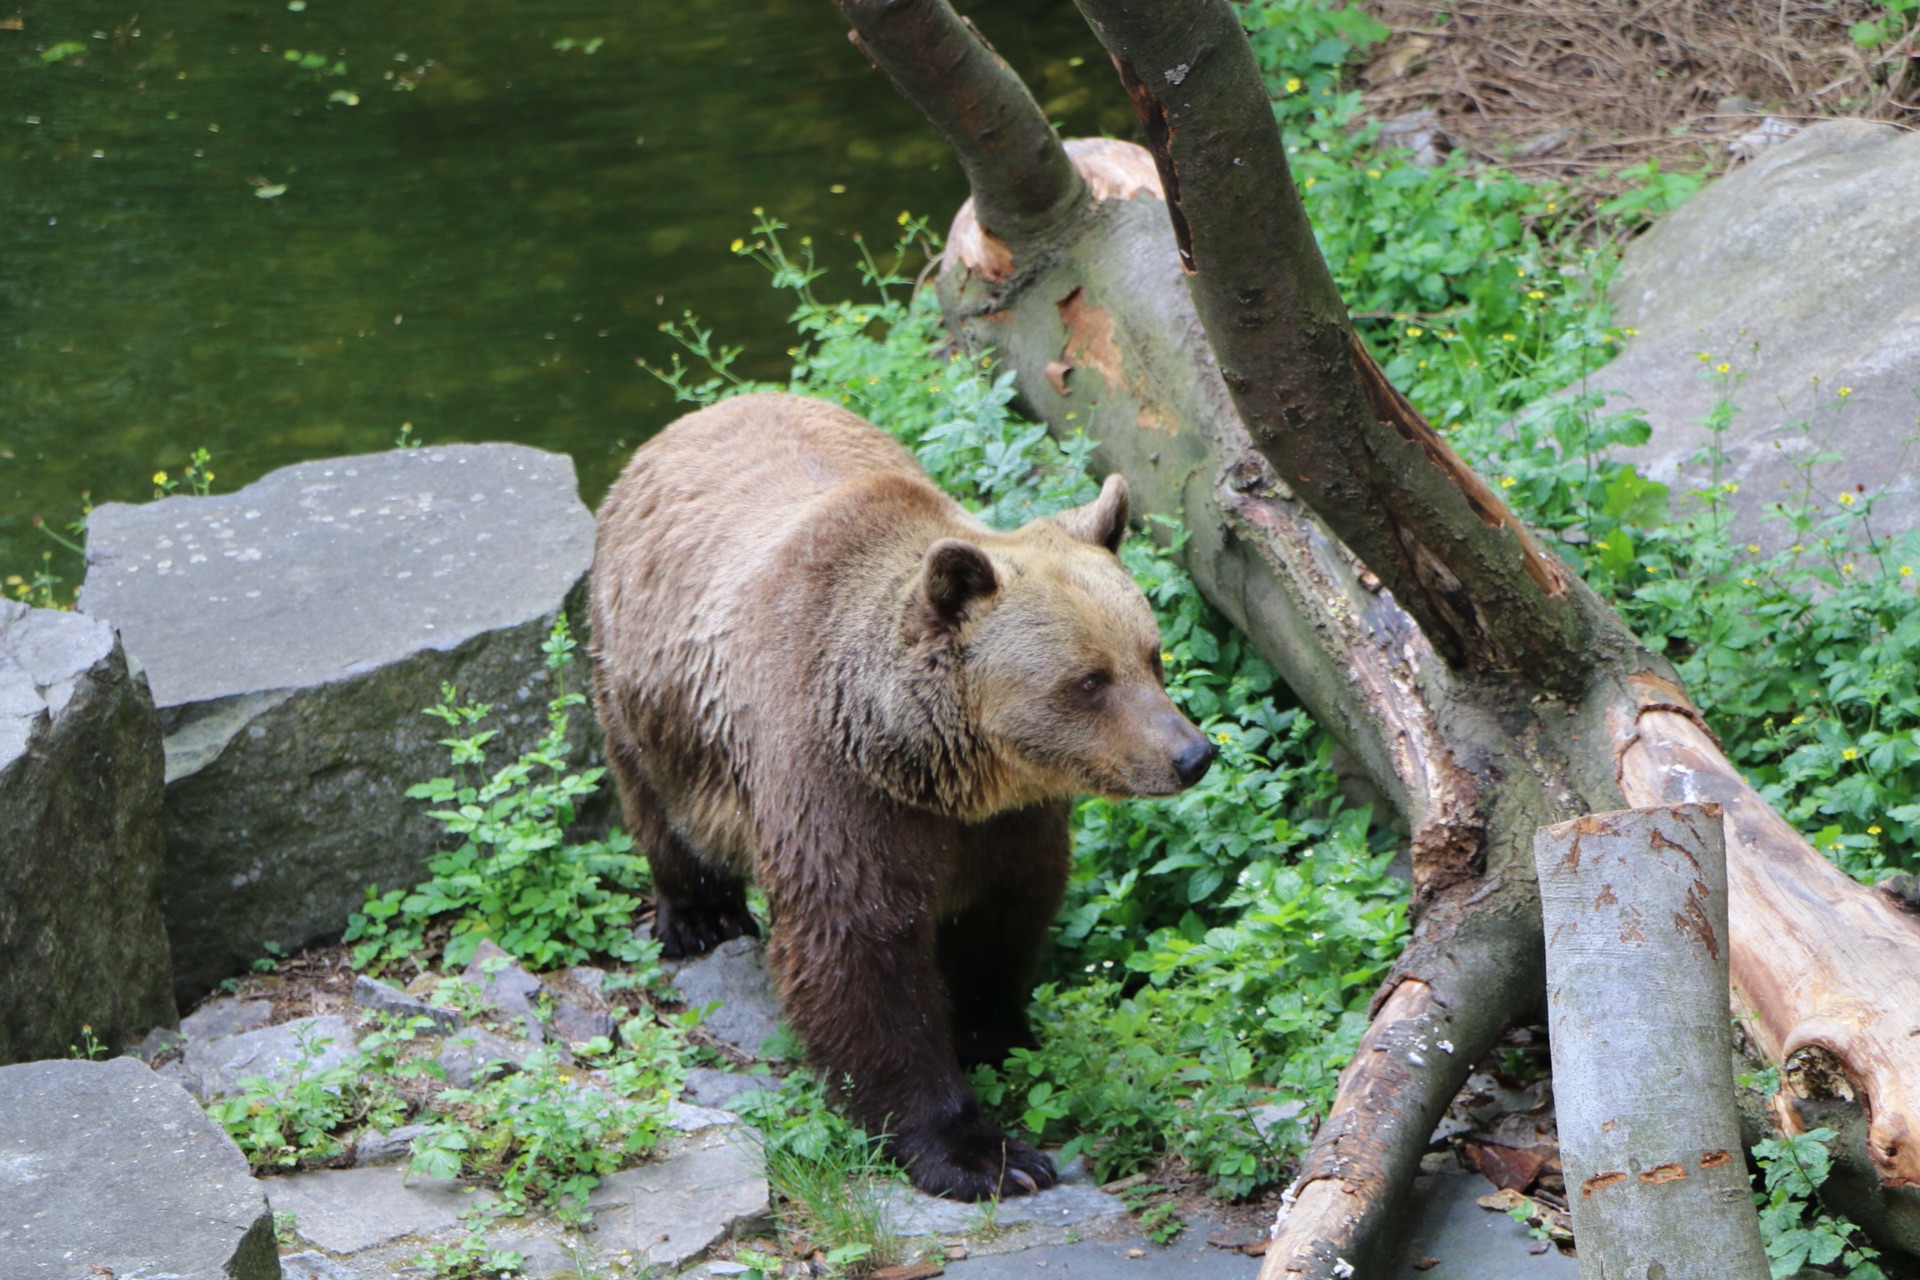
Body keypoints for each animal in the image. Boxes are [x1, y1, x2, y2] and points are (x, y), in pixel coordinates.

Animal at [587, 393, 1213, 1205]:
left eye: (1151, 655)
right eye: (1088, 679)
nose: (1191, 755)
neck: (929, 764)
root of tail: (697, 414)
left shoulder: (1007, 822)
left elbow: (1005, 914)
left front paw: (996, 1031)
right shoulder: (835, 787)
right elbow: (861, 951)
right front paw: (983, 1152)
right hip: (646, 690)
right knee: (660, 807)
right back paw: (700, 915)